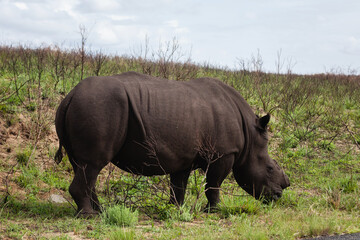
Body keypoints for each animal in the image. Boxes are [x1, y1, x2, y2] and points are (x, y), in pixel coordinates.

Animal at [54, 71, 290, 216]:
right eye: (269, 168)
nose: (279, 194)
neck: (250, 135)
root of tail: (69, 96)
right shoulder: (224, 153)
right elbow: (213, 184)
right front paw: (214, 211)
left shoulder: (184, 156)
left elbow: (179, 185)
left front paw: (177, 209)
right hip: (99, 107)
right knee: (92, 164)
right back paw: (90, 216)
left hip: (87, 106)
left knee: (83, 166)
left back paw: (100, 211)